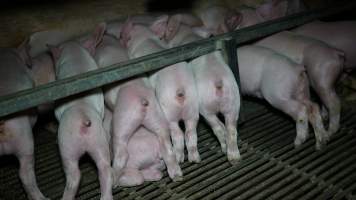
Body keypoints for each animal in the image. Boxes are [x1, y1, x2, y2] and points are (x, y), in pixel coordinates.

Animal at [48, 23, 112, 200]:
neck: (75, 55)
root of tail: (82, 118)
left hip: (66, 144)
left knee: (73, 176)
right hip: (98, 139)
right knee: (104, 167)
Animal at [164, 16, 242, 164]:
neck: (187, 33)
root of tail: (218, 82)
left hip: (206, 107)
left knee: (218, 128)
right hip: (233, 103)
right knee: (231, 129)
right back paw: (234, 158)